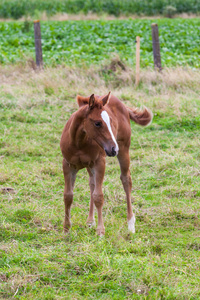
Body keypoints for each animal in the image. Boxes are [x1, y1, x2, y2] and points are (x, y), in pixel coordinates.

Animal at [60, 92, 152, 236]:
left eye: (111, 121)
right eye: (97, 123)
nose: (113, 149)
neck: (79, 143)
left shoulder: (99, 163)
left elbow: (98, 196)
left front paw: (100, 231)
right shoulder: (68, 165)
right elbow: (68, 196)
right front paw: (66, 229)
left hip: (124, 149)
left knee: (126, 180)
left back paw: (130, 225)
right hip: (89, 165)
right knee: (92, 183)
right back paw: (90, 221)